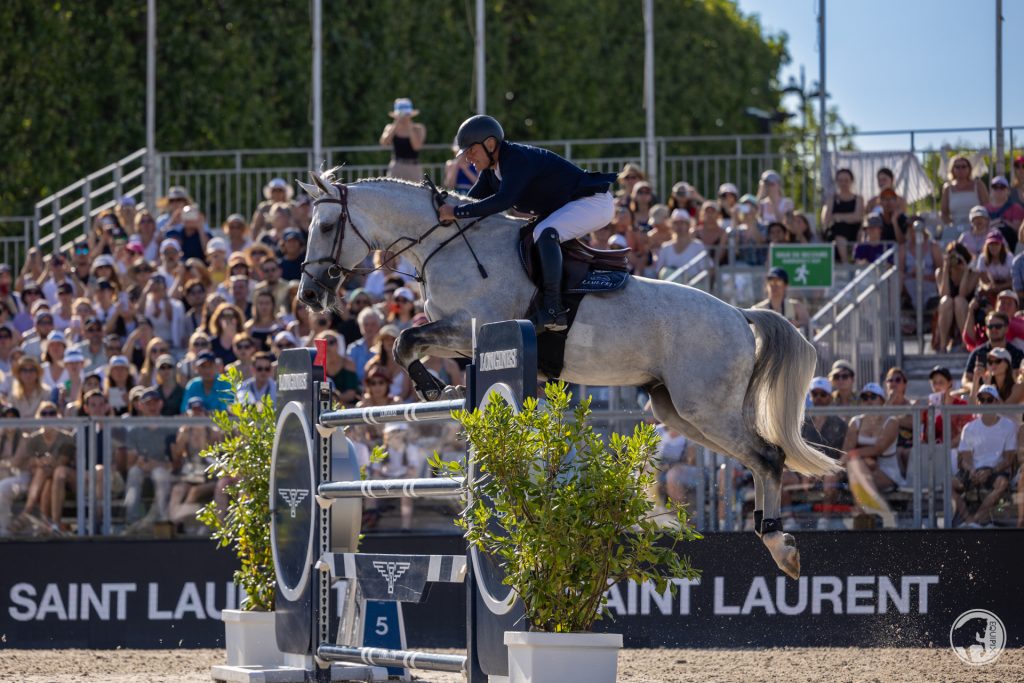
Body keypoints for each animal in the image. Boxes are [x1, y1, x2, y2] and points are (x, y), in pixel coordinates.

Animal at [294, 169, 839, 577]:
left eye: (327, 226)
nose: (310, 296)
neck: (446, 245)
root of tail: (740, 316)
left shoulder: (470, 326)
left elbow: (405, 339)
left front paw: (430, 387)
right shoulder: (460, 335)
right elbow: (408, 341)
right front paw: (436, 385)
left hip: (704, 407)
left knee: (768, 457)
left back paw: (781, 547)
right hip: (679, 410)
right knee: (756, 459)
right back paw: (773, 539)